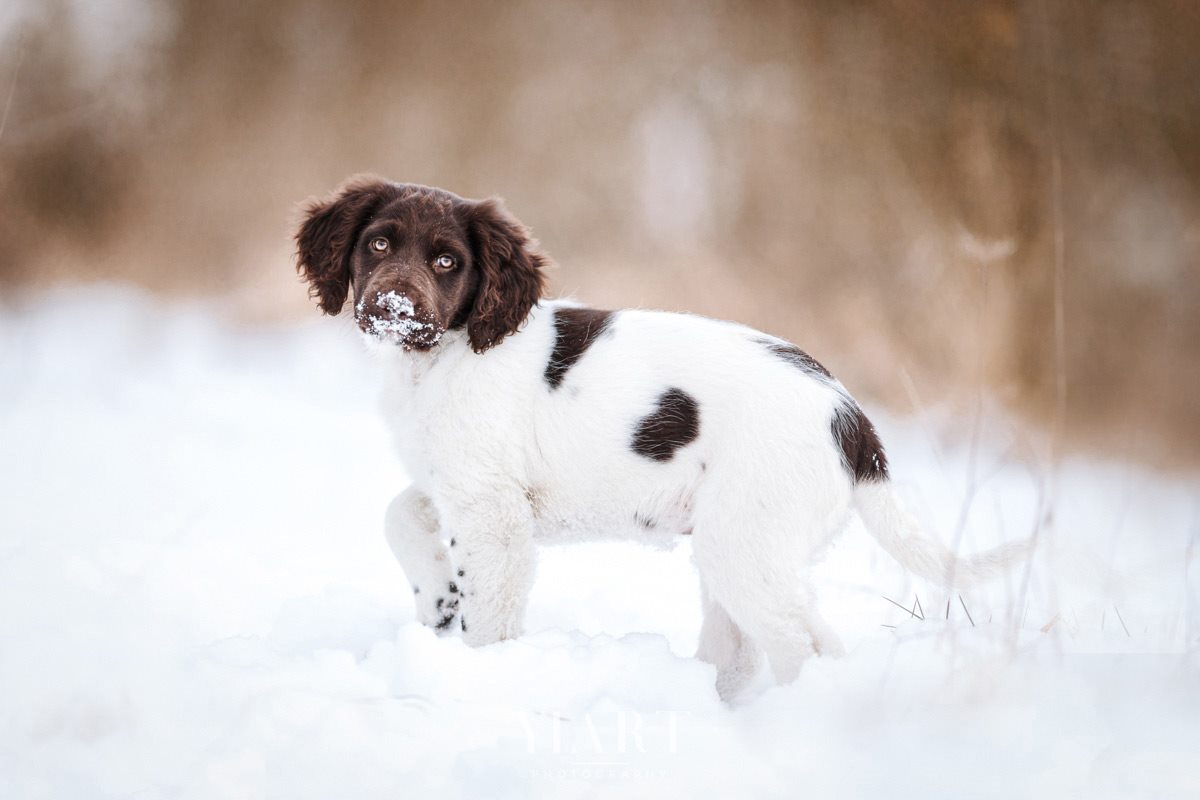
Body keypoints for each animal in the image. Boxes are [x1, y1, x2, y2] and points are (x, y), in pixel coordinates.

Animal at [295, 176, 1027, 700]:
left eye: (448, 260)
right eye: (378, 245)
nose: (394, 308)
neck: (442, 356)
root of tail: (849, 416)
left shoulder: (494, 512)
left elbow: (491, 611)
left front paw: (477, 670)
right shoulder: (464, 489)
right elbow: (400, 513)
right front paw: (439, 598)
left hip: (744, 546)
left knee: (808, 646)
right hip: (735, 544)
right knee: (741, 651)